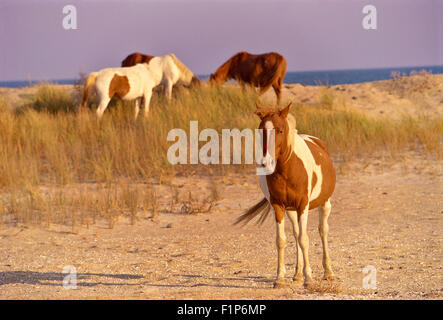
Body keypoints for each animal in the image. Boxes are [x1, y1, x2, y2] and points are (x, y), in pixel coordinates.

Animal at [236, 102, 336, 288]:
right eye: (260, 130)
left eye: (280, 130)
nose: (266, 162)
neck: (288, 171)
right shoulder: (279, 207)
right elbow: (281, 240)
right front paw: (280, 278)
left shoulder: (303, 205)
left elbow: (304, 239)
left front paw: (309, 278)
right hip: (291, 211)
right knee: (296, 234)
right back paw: (297, 275)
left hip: (325, 203)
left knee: (322, 231)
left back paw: (328, 272)